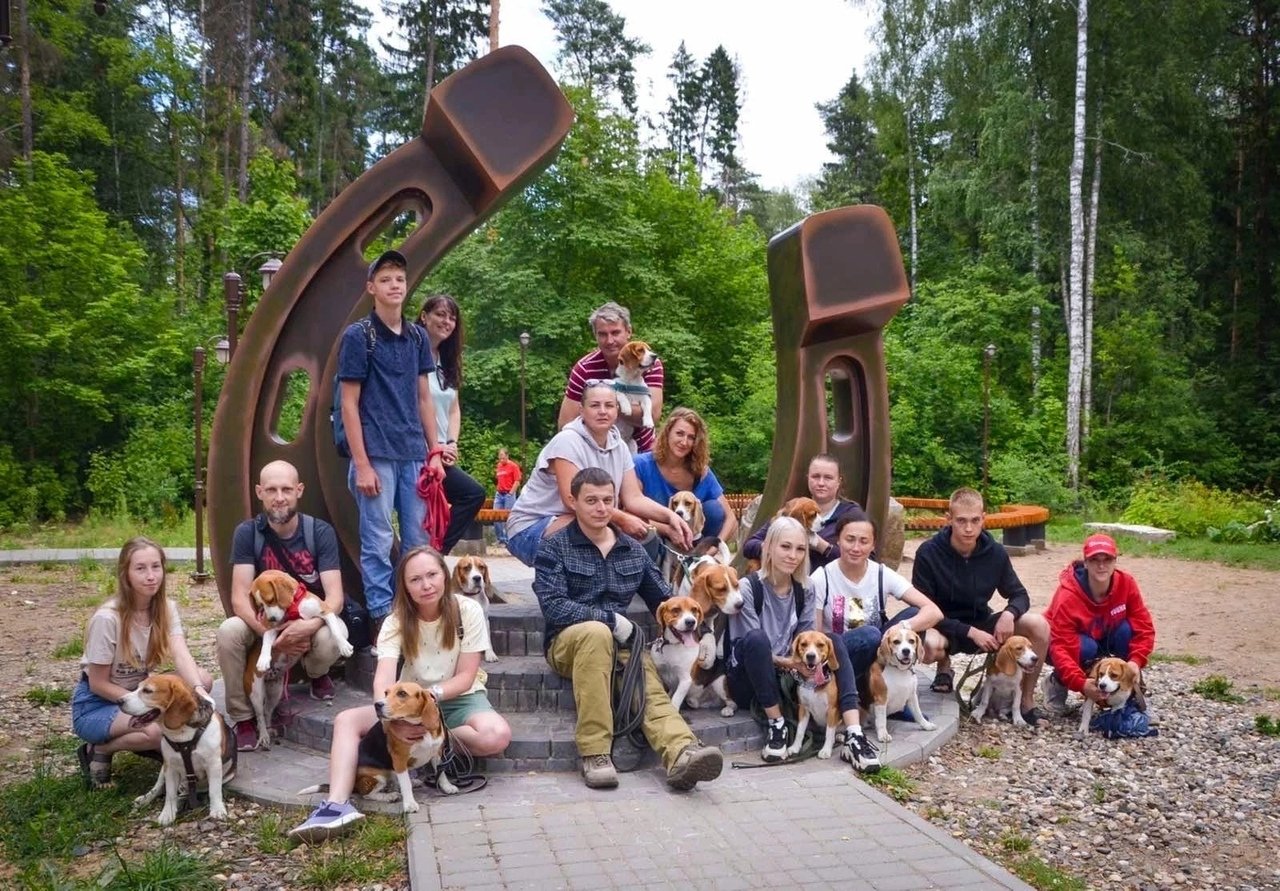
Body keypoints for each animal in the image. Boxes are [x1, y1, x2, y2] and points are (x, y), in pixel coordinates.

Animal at [120, 675, 232, 829]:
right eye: (137, 687)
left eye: (147, 691)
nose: (119, 701)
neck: (182, 735)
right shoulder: (171, 767)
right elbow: (170, 794)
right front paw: (167, 814)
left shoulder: (213, 764)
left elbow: (214, 790)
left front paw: (217, 810)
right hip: (164, 769)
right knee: (158, 788)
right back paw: (145, 799)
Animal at [296, 681, 458, 809]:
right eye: (386, 693)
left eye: (402, 693)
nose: (377, 705)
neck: (419, 725)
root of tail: (355, 784)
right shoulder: (399, 759)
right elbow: (405, 784)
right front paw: (410, 804)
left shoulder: (437, 753)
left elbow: (441, 773)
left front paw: (447, 787)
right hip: (377, 776)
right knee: (367, 794)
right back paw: (389, 796)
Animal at [783, 627, 844, 757]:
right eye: (803, 644)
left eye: (820, 645)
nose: (810, 656)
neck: (812, 683)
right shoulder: (803, 708)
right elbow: (800, 731)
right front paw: (795, 747)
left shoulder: (832, 710)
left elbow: (829, 732)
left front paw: (826, 750)